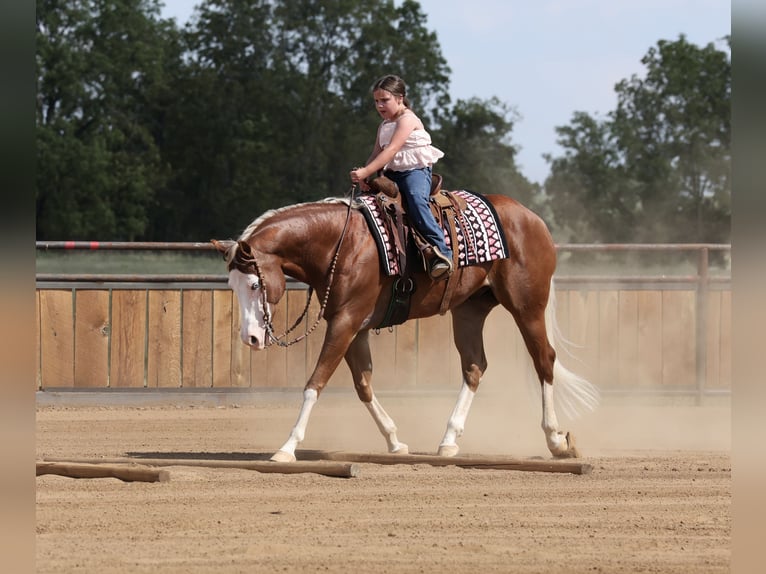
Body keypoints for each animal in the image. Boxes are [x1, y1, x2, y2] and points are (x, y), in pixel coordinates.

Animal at [212, 191, 599, 463]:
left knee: (543, 360)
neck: (341, 244)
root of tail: (533, 219)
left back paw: (556, 440)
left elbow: (314, 383)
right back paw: (448, 440)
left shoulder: (345, 322)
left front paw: (287, 446)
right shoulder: (354, 326)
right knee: (475, 366)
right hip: (469, 310)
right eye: (231, 285)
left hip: (527, 306)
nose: (250, 337)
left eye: (255, 284)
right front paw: (395, 441)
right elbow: (363, 385)